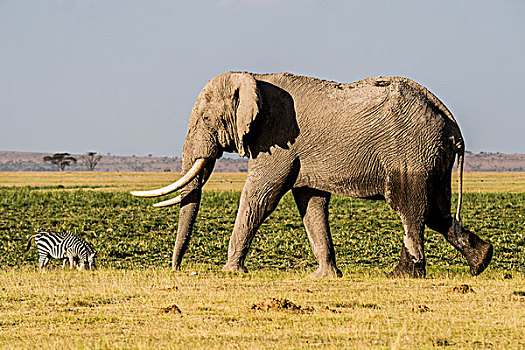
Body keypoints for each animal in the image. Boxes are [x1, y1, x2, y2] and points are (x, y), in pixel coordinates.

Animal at [131, 72, 492, 278]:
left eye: (206, 119)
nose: (177, 269)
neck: (253, 77)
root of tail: (451, 123)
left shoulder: (277, 138)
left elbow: (260, 196)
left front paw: (230, 272)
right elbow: (311, 204)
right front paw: (325, 277)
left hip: (410, 151)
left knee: (410, 207)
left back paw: (403, 275)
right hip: (433, 155)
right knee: (437, 209)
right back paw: (480, 261)